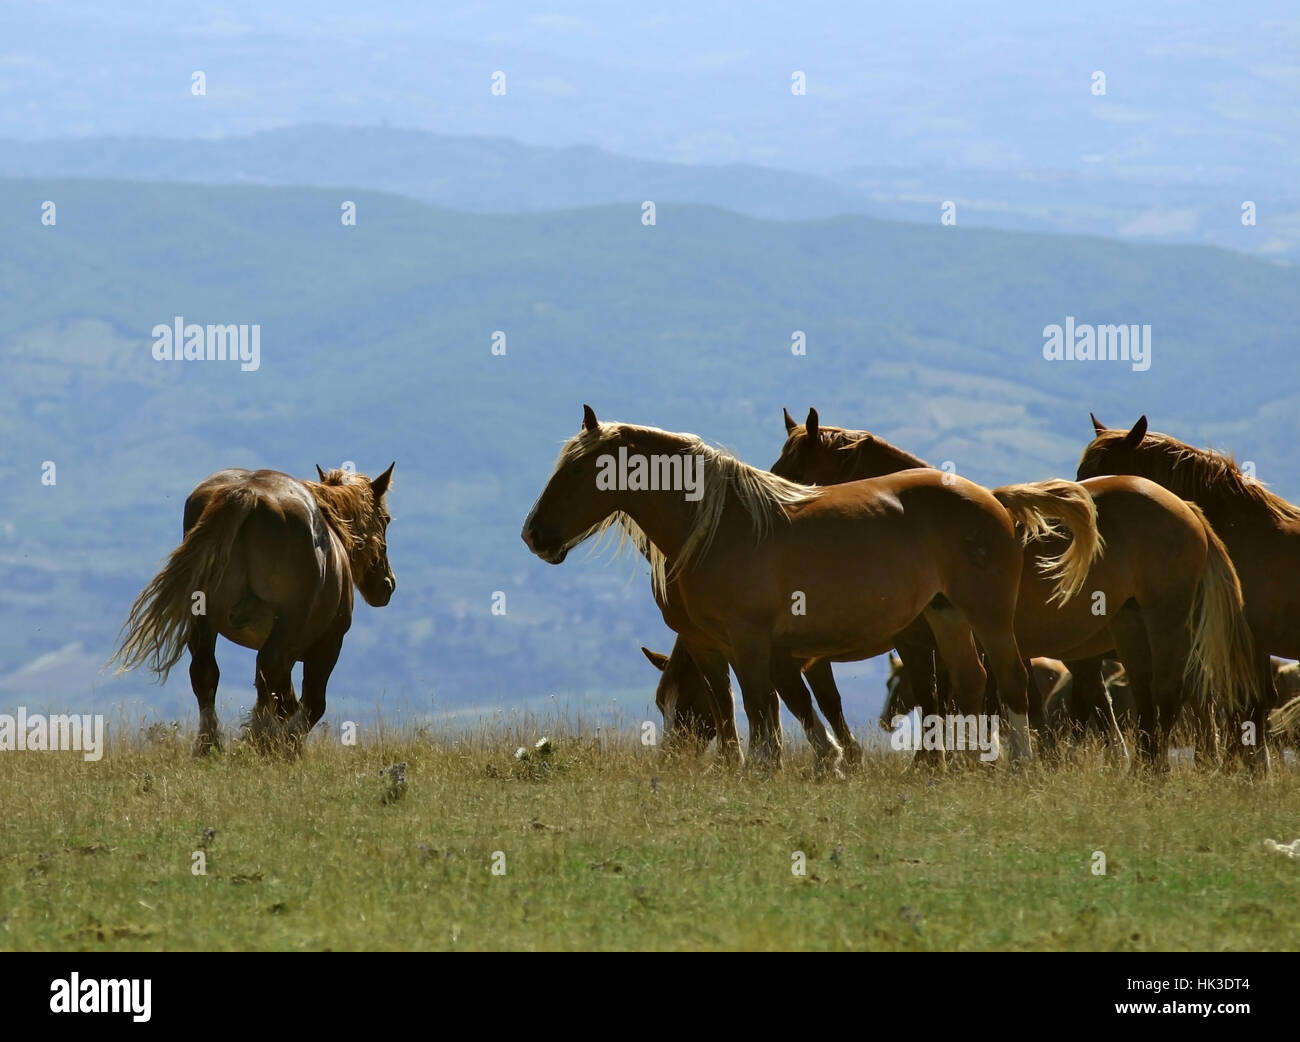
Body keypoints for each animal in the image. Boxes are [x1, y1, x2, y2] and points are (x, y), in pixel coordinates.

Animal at [107, 459, 395, 748]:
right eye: (387, 519)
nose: (387, 584)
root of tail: (248, 493)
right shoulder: (328, 642)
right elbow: (311, 703)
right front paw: (286, 746)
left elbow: (285, 700)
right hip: (287, 625)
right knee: (268, 670)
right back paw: (257, 741)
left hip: (203, 618)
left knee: (205, 673)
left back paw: (210, 746)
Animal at [522, 402, 1102, 769]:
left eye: (581, 471)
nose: (534, 534)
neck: (723, 525)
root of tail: (993, 499)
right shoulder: (735, 647)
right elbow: (760, 708)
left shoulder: (753, 642)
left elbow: (763, 710)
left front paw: (765, 770)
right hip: (946, 616)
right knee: (968, 682)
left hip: (988, 618)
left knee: (1008, 683)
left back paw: (1016, 766)